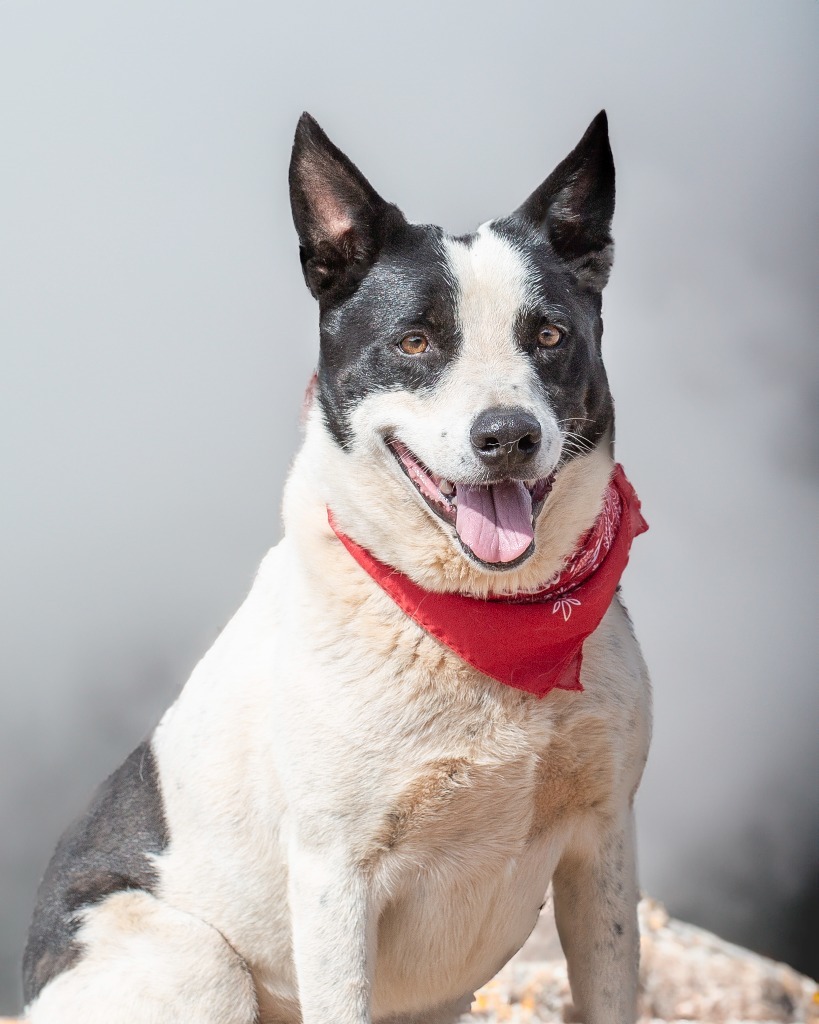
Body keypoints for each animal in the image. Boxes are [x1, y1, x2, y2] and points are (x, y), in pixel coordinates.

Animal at [22, 112, 651, 1024]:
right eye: (414, 342)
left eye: (549, 337)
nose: (507, 435)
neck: (477, 619)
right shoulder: (334, 879)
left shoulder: (602, 846)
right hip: (197, 964)